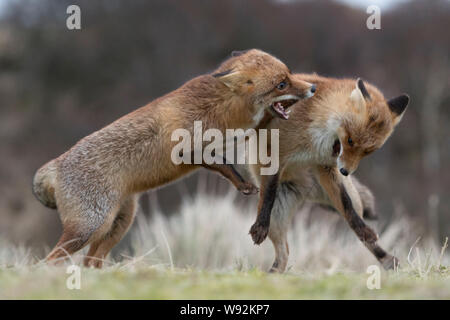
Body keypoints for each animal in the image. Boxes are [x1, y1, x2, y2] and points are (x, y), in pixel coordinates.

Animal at [248, 74, 410, 272]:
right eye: (350, 140)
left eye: (368, 151)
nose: (345, 171)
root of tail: (307, 191)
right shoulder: (275, 155)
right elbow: (269, 194)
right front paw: (260, 226)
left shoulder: (325, 166)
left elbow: (347, 205)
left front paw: (365, 231)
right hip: (277, 218)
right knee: (283, 253)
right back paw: (272, 274)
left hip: (353, 201)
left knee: (356, 226)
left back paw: (386, 258)